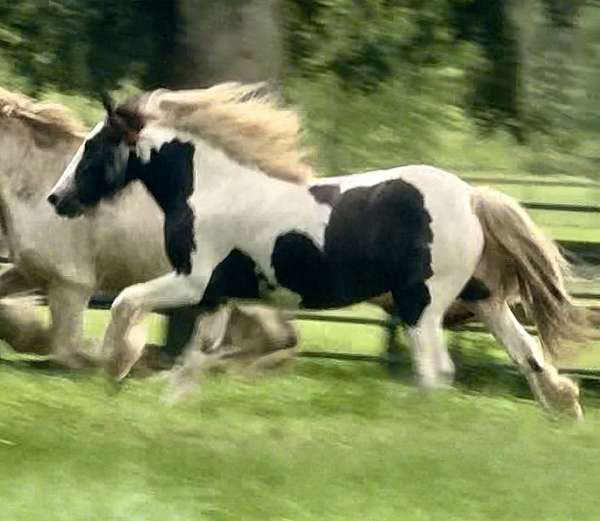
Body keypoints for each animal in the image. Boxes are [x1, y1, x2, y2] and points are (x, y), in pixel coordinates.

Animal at [49, 83, 588, 416]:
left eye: (95, 147)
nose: (58, 198)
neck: (211, 190)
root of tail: (473, 198)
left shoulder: (192, 281)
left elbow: (125, 302)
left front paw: (113, 367)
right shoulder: (217, 297)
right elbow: (196, 358)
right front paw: (165, 405)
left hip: (422, 305)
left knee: (436, 372)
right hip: (483, 299)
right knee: (529, 357)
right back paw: (565, 407)